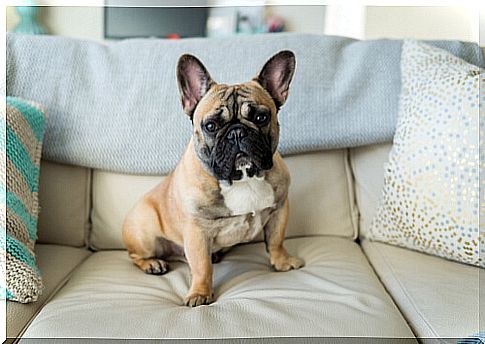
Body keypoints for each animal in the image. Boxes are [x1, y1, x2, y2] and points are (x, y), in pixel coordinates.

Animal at [122, 50, 302, 306]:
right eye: (210, 125)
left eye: (261, 117)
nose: (237, 132)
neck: (242, 177)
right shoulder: (197, 230)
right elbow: (202, 266)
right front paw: (199, 293)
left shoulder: (280, 208)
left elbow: (276, 240)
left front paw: (283, 262)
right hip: (144, 230)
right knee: (135, 255)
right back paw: (152, 264)